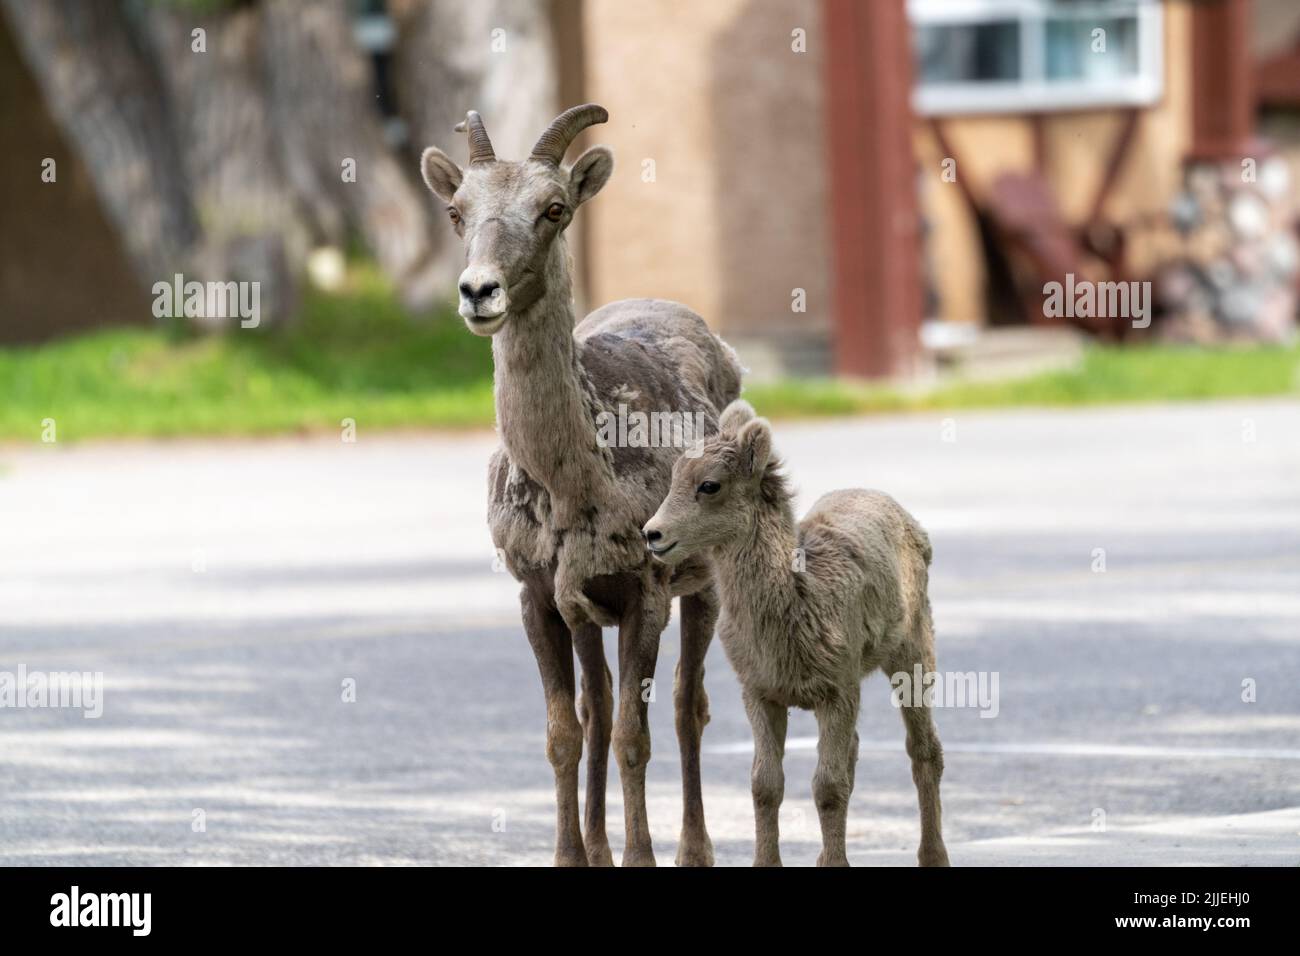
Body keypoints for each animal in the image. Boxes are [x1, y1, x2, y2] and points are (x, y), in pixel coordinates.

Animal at [418, 106, 743, 868]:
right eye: (456, 210)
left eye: (555, 208)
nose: (478, 291)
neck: (573, 488)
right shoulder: (540, 591)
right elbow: (565, 732)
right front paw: (572, 855)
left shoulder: (645, 588)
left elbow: (635, 737)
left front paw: (643, 858)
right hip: (586, 612)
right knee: (598, 706)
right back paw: (599, 846)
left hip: (702, 582)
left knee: (689, 705)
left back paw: (694, 850)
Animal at [644, 403, 951, 868]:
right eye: (675, 476)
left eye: (709, 485)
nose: (652, 533)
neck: (797, 606)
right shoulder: (760, 691)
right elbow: (765, 784)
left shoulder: (838, 689)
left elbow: (828, 786)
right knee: (856, 751)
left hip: (913, 649)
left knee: (923, 749)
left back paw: (934, 855)